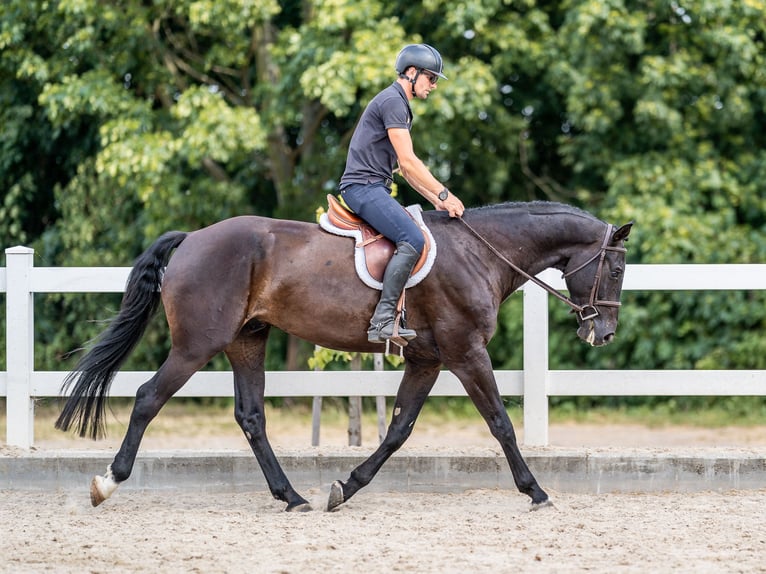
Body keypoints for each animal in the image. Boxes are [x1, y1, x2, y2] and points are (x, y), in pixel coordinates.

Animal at [55, 201, 636, 512]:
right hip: (198, 344)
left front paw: (345, 487)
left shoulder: (426, 360)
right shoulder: (466, 352)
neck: (479, 253)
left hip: (248, 339)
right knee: (148, 398)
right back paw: (108, 483)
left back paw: (291, 496)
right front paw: (535, 491)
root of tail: (194, 238)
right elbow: (500, 423)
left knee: (251, 416)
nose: (603, 332)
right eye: (616, 269)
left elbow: (398, 429)